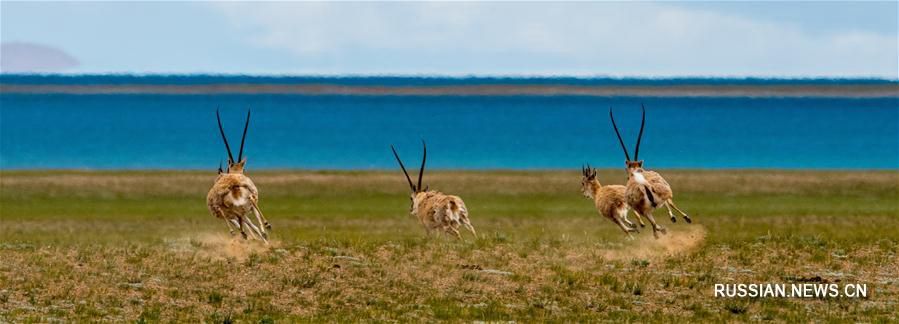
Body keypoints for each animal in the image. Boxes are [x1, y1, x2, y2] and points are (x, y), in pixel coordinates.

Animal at [207, 109, 270, 243]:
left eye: (244, 169)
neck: (235, 172)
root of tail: (234, 184)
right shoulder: (244, 211)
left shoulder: (241, 213)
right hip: (242, 206)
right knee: (249, 209)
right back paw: (261, 230)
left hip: (235, 209)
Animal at [608, 105, 692, 239]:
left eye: (627, 175)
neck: (635, 172)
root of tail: (644, 185)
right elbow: (669, 204)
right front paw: (674, 218)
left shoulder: (640, 210)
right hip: (661, 196)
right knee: (667, 205)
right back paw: (679, 220)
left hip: (645, 211)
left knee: (655, 223)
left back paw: (661, 231)